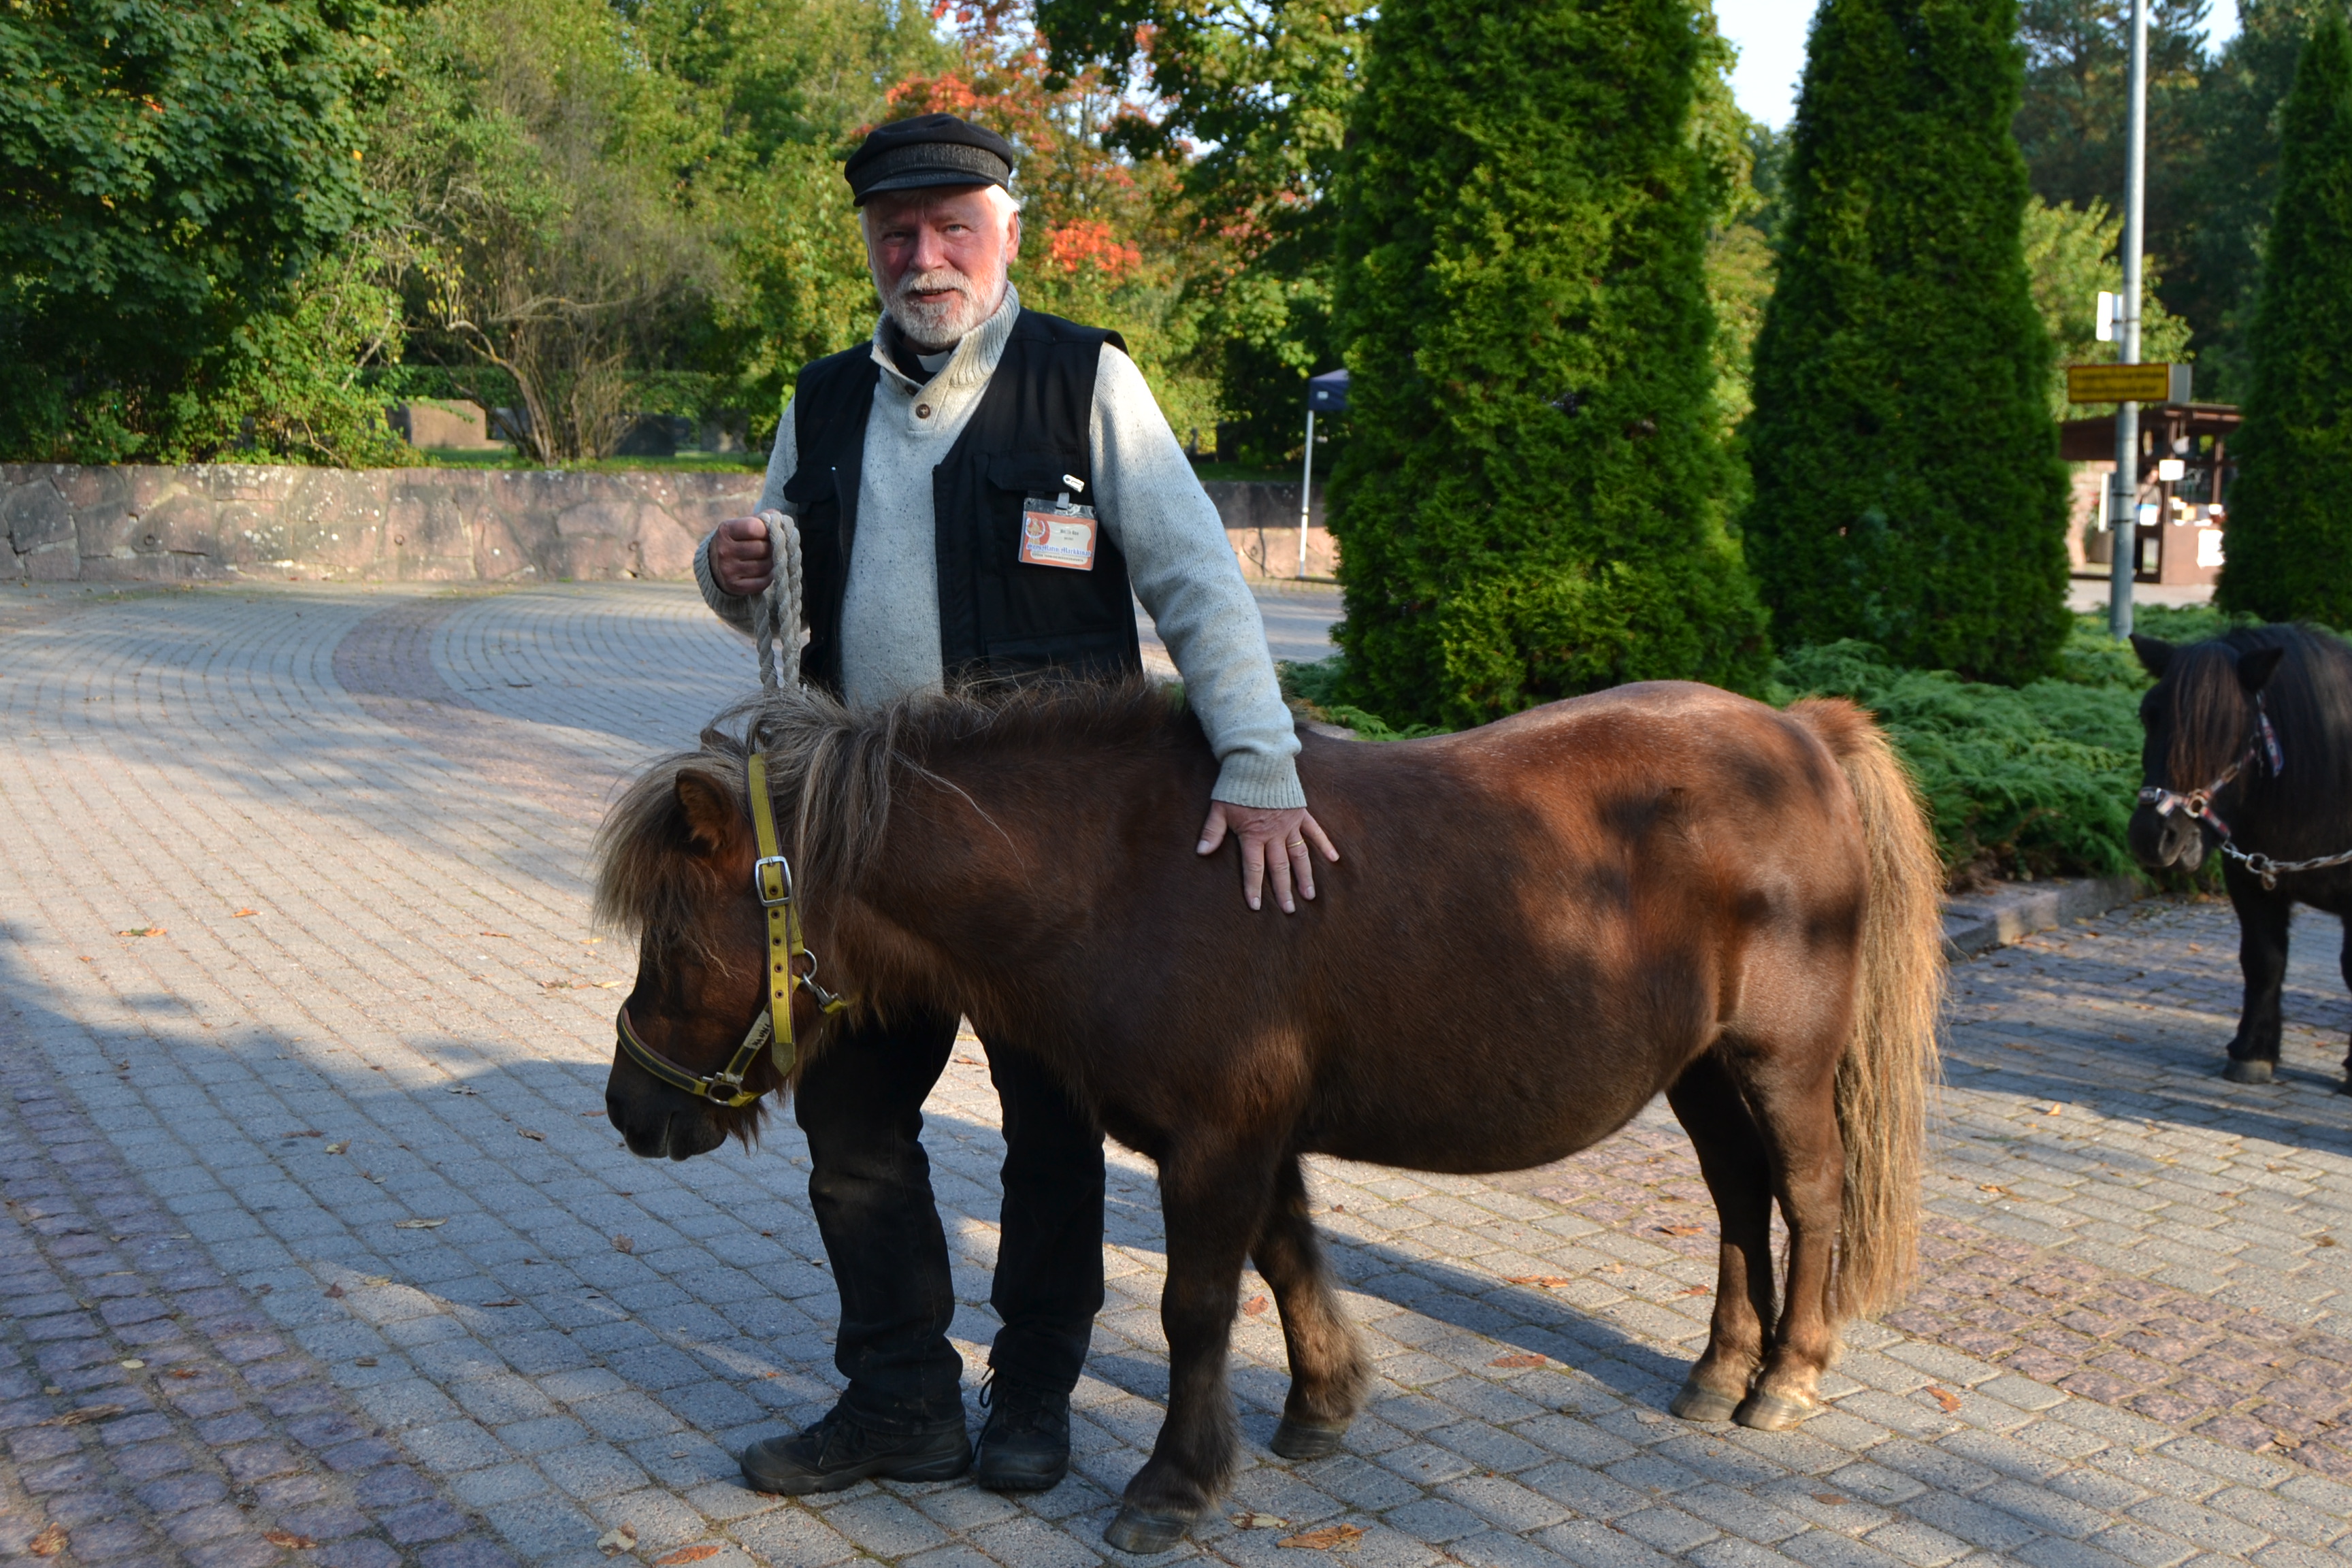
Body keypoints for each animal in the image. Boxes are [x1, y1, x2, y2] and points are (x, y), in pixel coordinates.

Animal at [591, 676, 1945, 1553]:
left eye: (677, 940)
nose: (629, 1107)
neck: (1129, 873)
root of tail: (1799, 734)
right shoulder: (1250, 1137)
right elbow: (1289, 1260)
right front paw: (1321, 1405)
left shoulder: (1219, 1141)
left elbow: (1199, 1306)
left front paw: (1175, 1484)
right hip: (1701, 1070)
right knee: (1737, 1202)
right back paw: (1719, 1368)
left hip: (1779, 1061)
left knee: (1810, 1197)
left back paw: (1787, 1373)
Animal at [2129, 624, 2352, 1091]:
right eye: (2149, 714)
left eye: (2225, 727)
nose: (2152, 837)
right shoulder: (2251, 880)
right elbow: (2263, 960)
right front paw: (2253, 1052)